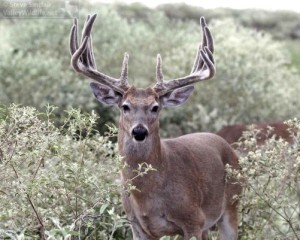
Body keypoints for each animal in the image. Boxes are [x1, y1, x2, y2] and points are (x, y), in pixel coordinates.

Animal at [69, 14, 241, 238]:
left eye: (155, 107)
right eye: (125, 106)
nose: (139, 131)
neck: (148, 199)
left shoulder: (193, 220)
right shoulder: (136, 225)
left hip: (232, 205)